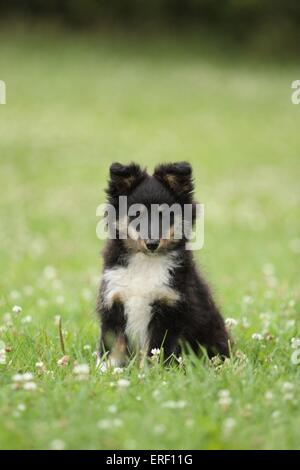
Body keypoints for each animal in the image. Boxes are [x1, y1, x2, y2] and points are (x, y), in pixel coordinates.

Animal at [96, 163, 230, 370]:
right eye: (136, 214)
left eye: (166, 215)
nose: (152, 244)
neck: (146, 262)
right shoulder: (113, 305)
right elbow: (112, 348)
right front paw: (105, 371)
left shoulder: (169, 310)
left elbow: (155, 351)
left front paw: (150, 373)